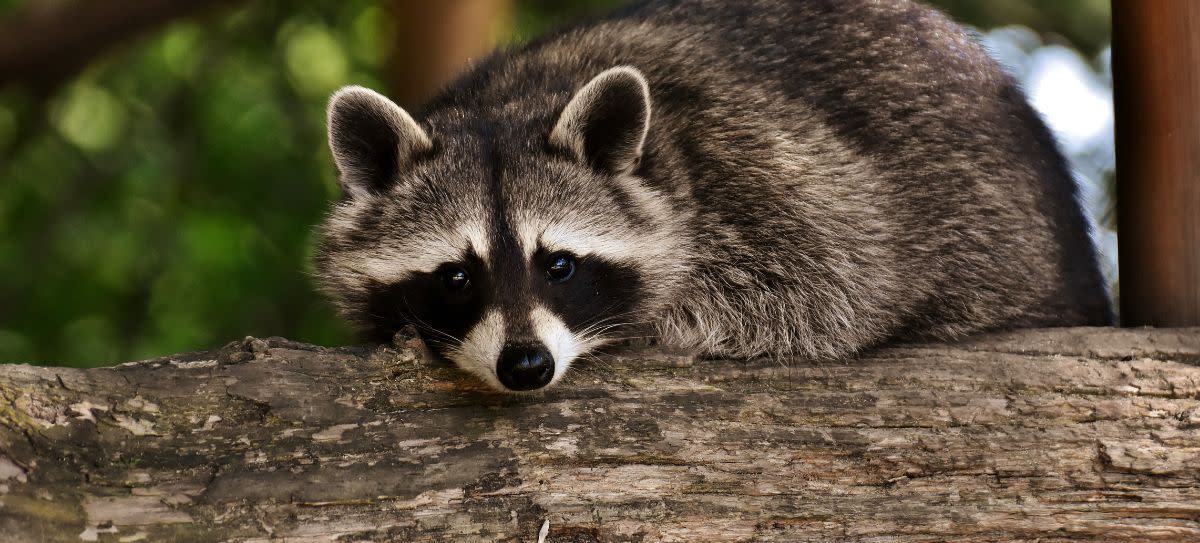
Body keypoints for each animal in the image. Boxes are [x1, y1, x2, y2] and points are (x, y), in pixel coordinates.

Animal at [309, 0, 1104, 391]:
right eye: (455, 275)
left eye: (558, 264)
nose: (526, 367)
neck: (513, 102)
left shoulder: (774, 174)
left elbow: (833, 289)